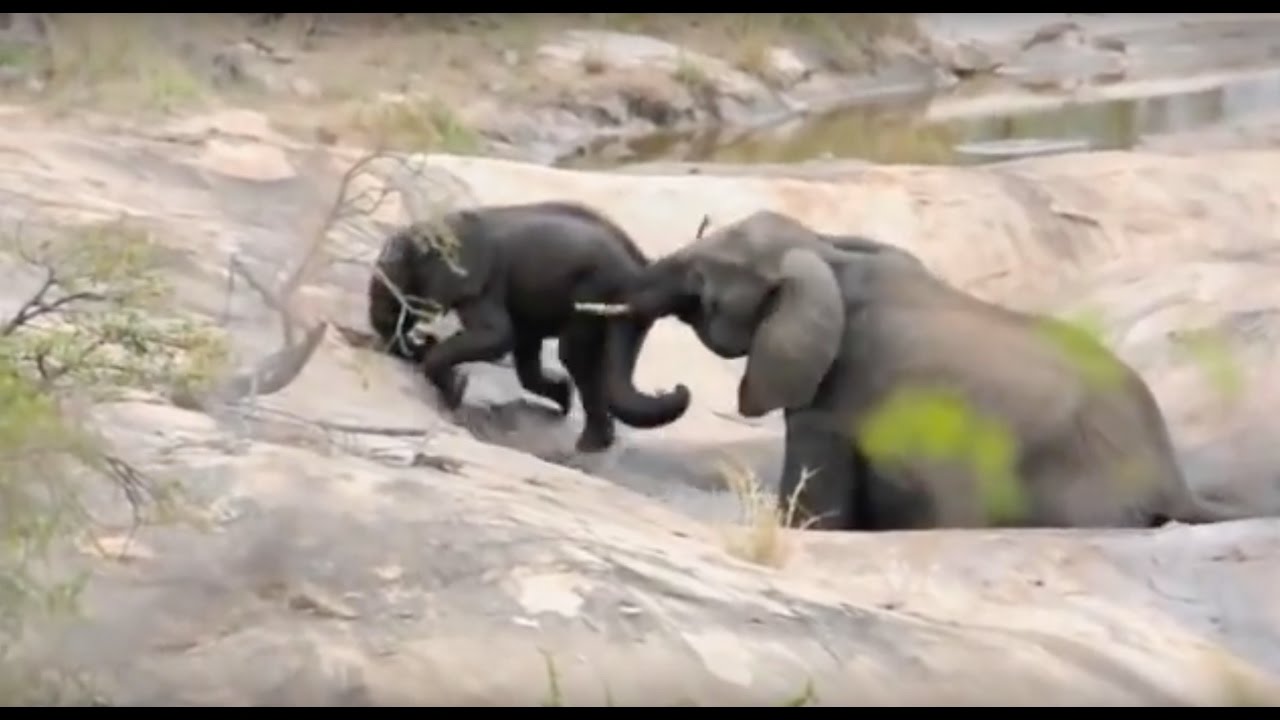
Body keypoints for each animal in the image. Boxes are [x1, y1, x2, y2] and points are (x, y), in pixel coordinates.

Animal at [367, 200, 691, 453]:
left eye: (393, 289)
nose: (423, 341)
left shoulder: (481, 282)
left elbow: (499, 337)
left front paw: (455, 392)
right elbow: (523, 351)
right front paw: (562, 397)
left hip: (593, 289)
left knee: (574, 354)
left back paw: (588, 446)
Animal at [588, 209, 1267, 530]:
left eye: (702, 283)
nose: (675, 387)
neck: (828, 255)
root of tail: (1171, 481)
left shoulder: (835, 395)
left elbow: (819, 510)